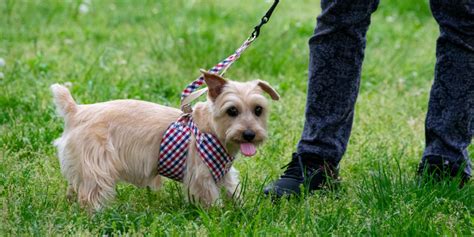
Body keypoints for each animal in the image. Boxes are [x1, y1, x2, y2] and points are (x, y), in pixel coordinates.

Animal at [51, 69, 280, 210]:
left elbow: (233, 190)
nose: (249, 134)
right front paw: (219, 216)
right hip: (98, 165)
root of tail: (76, 111)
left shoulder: (223, 172)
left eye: (258, 109)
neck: (212, 129)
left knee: (75, 186)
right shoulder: (201, 175)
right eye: (232, 110)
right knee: (90, 193)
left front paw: (242, 209)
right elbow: (211, 199)